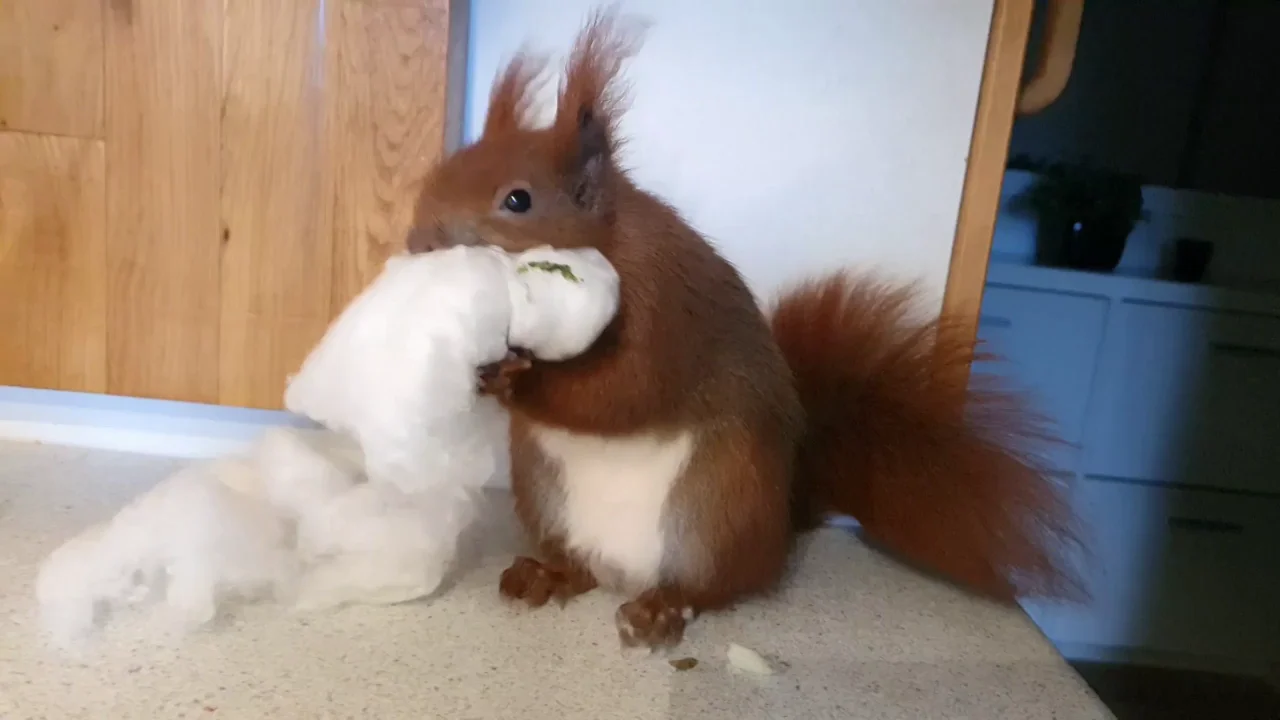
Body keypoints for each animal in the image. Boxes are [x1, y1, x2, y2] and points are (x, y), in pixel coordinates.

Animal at [407, 8, 1085, 649]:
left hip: (721, 502)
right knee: (583, 567)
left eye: (517, 200)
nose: (417, 242)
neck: (609, 245)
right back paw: (547, 574)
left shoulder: (664, 310)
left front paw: (519, 380)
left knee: (710, 588)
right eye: (447, 166)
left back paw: (660, 610)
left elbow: (623, 391)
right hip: (545, 492)